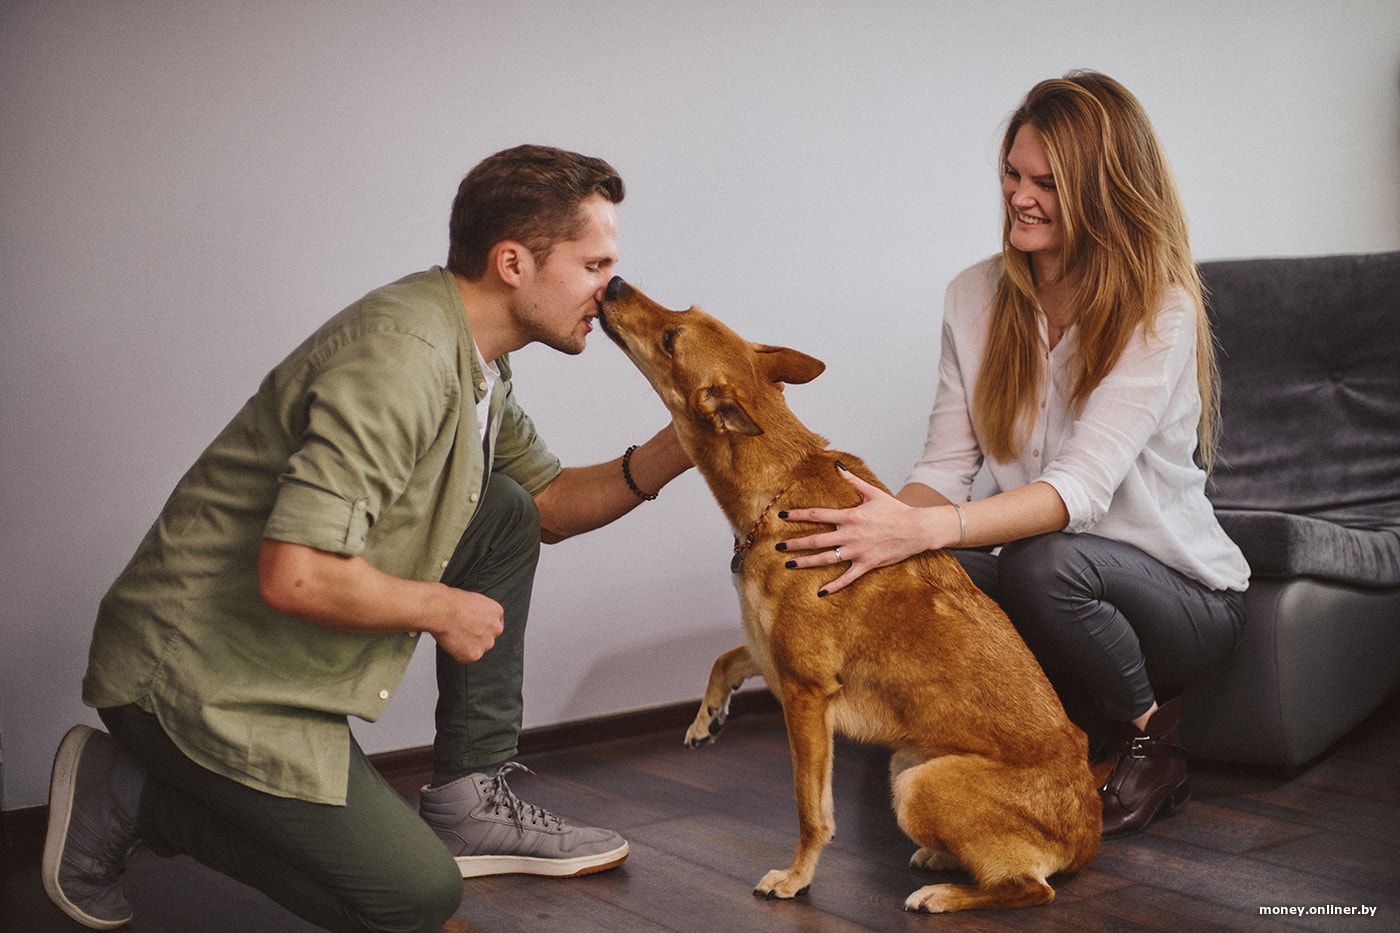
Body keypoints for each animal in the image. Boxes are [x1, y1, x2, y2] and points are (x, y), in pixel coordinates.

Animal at [596, 275, 1097, 907]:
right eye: (683, 311)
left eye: (670, 337)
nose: (613, 282)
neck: (779, 487)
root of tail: (1088, 834)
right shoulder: (774, 655)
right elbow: (726, 657)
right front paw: (706, 719)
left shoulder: (806, 693)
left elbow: (812, 811)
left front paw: (796, 878)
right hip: (906, 766)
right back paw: (942, 858)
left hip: (918, 784)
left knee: (1030, 888)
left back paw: (944, 895)